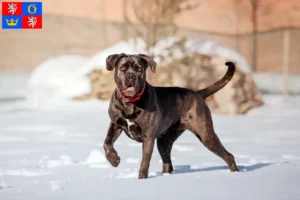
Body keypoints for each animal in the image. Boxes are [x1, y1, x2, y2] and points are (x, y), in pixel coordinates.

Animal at [103, 52, 239, 178]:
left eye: (139, 69)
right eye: (123, 68)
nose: (131, 76)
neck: (130, 102)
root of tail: (198, 94)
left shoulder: (148, 137)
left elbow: (145, 162)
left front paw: (142, 178)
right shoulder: (115, 124)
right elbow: (107, 142)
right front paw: (114, 160)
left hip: (205, 134)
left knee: (228, 156)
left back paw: (235, 172)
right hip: (164, 140)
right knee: (168, 162)